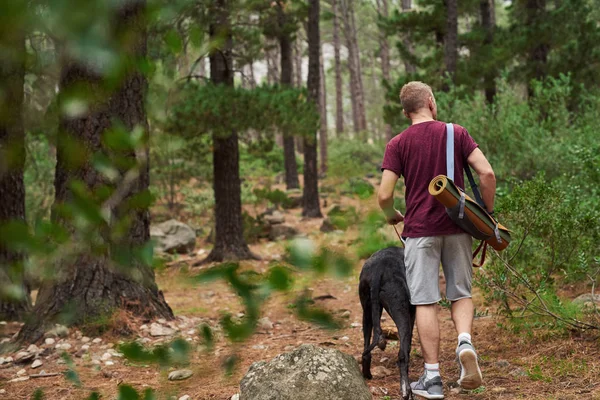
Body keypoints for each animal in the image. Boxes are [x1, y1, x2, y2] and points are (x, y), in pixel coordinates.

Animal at [358, 247, 414, 400]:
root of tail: (379, 268)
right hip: (401, 312)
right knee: (402, 355)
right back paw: (406, 391)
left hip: (367, 309)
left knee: (366, 349)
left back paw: (367, 374)